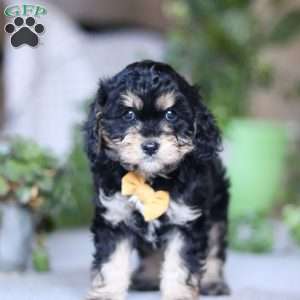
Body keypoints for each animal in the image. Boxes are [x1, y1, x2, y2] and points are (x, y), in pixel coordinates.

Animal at [84, 61, 230, 300]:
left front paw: (179, 295)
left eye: (171, 114)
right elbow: (111, 263)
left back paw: (213, 282)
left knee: (215, 247)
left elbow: (181, 264)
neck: (151, 179)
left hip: (218, 209)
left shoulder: (186, 220)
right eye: (129, 115)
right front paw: (107, 294)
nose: (150, 146)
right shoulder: (114, 217)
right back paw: (148, 278)